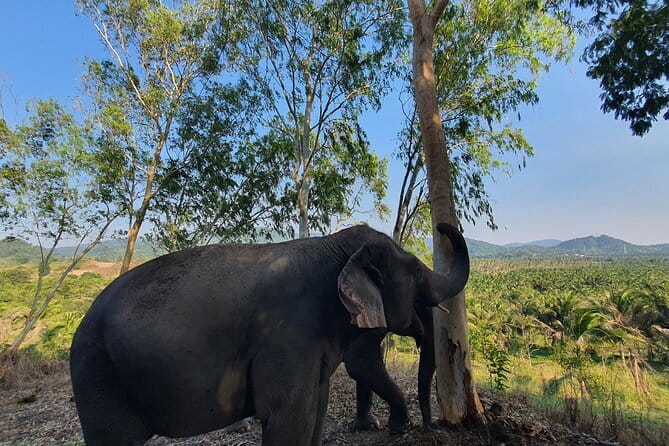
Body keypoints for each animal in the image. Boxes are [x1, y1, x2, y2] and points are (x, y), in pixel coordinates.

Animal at [69, 222, 469, 446]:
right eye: (416, 272)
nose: (427, 426)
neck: (334, 245)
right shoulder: (287, 337)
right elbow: (288, 415)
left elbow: (316, 411)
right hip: (98, 379)